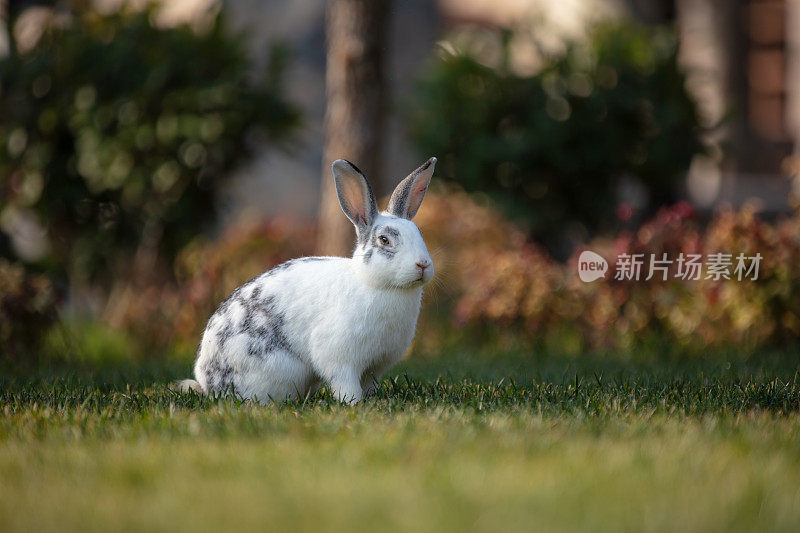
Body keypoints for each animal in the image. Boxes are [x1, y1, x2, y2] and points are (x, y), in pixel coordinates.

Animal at [178, 156, 438, 402]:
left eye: (419, 233)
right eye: (385, 240)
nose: (423, 264)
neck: (373, 282)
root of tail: (208, 383)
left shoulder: (374, 367)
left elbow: (369, 384)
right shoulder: (340, 360)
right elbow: (346, 385)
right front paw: (354, 403)